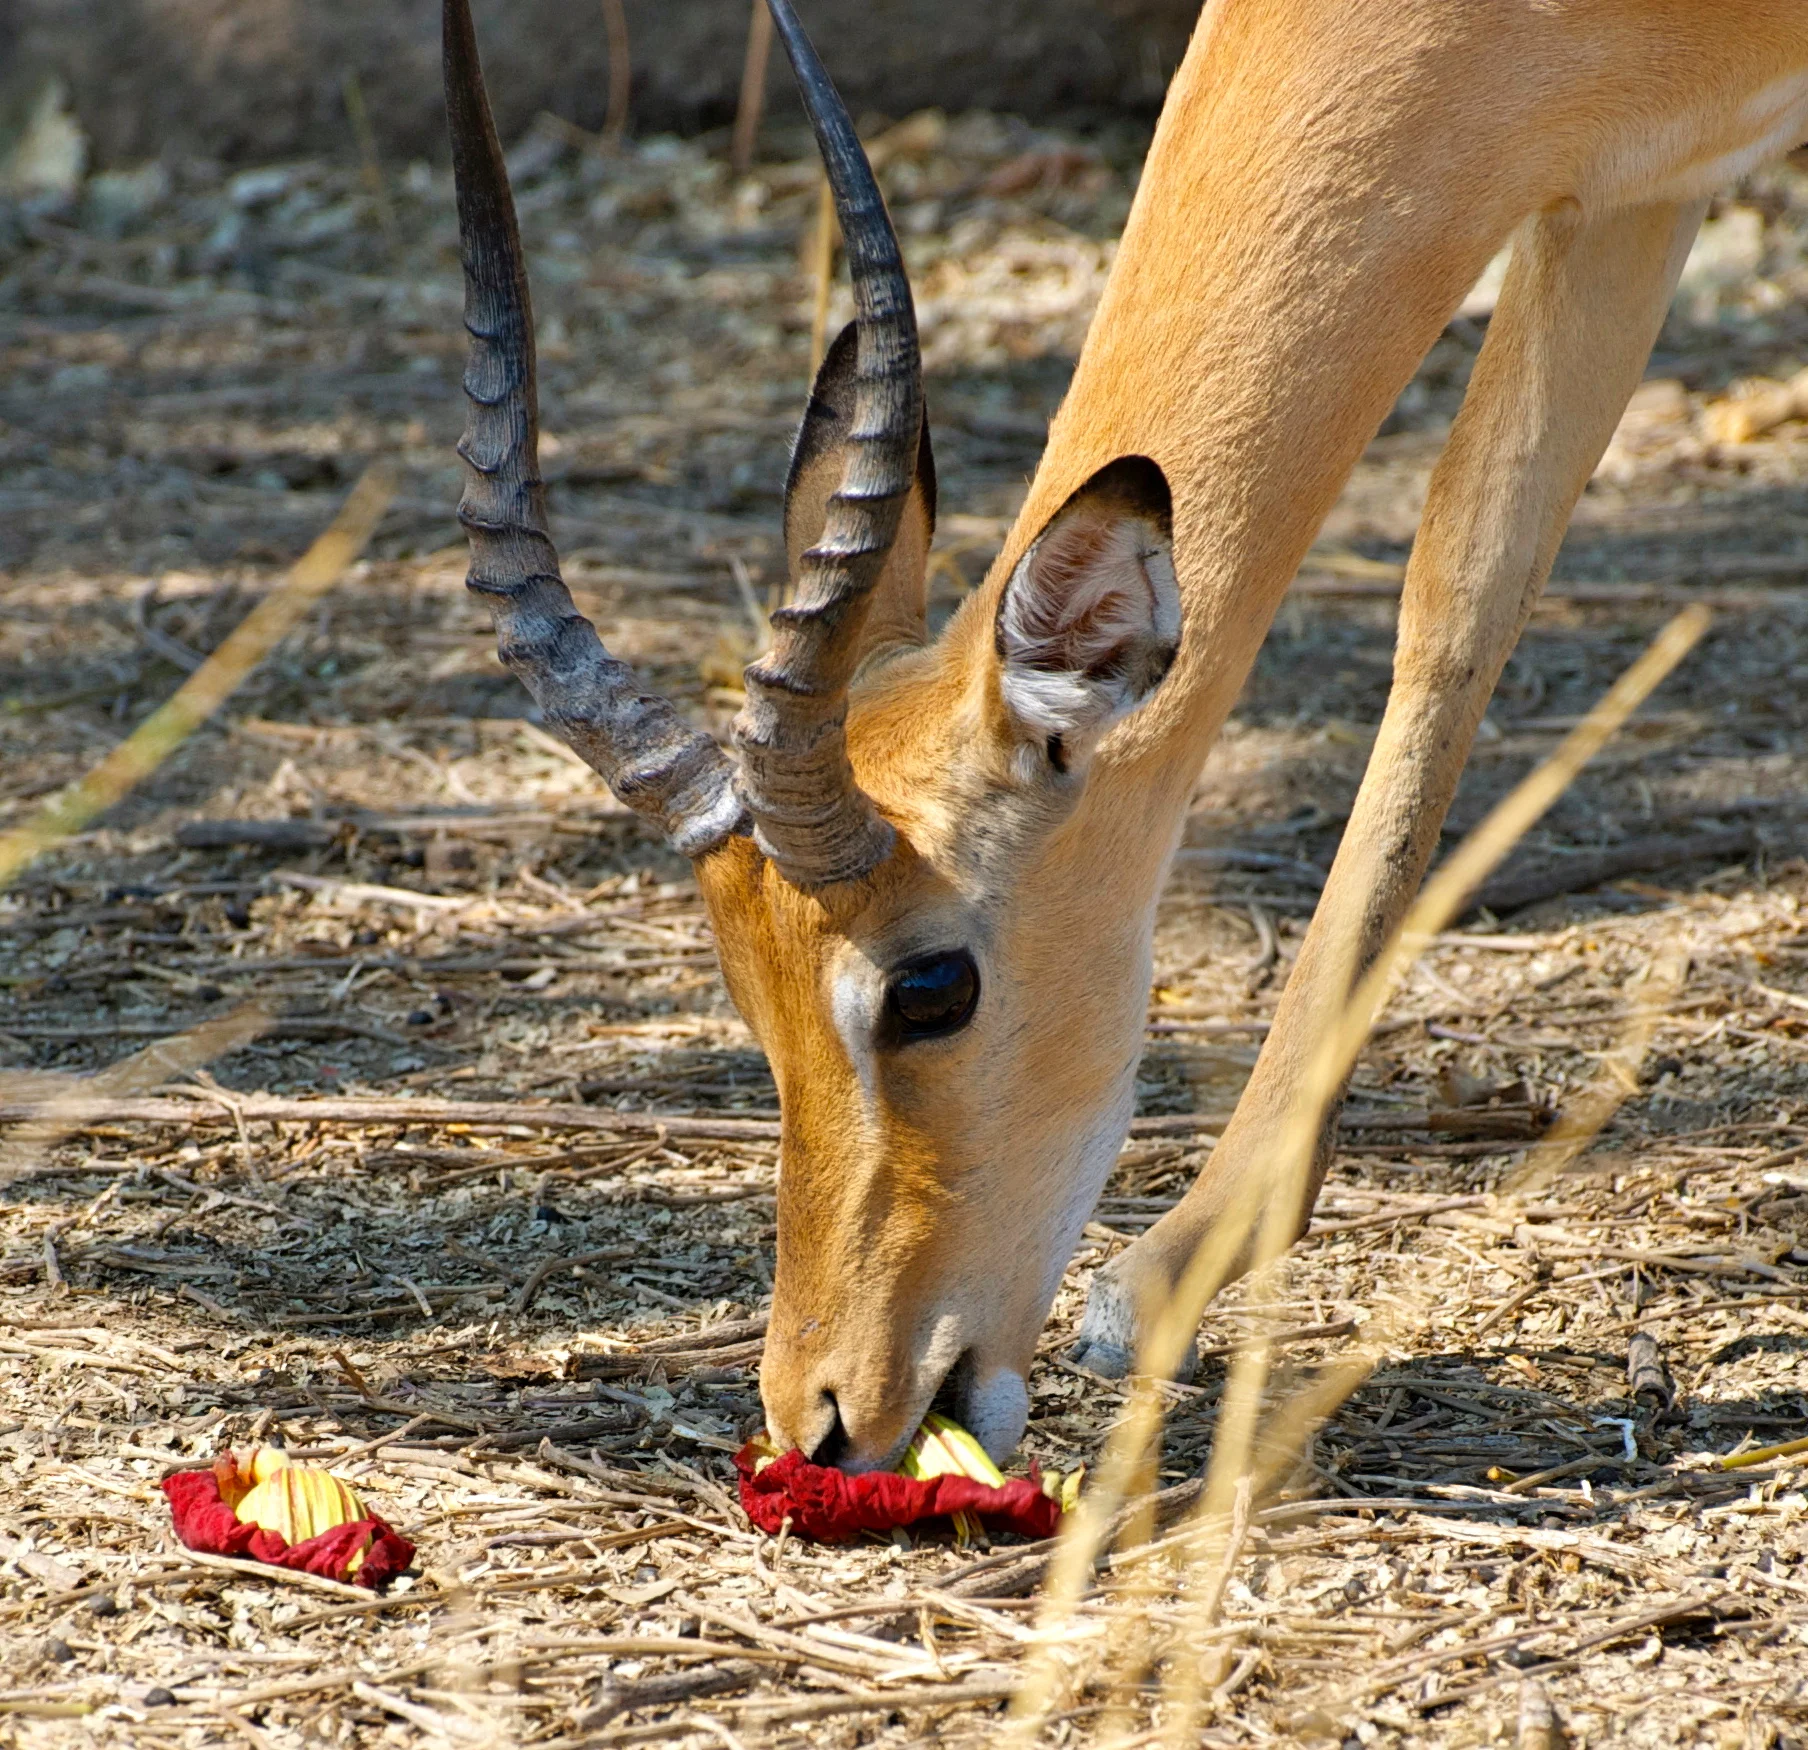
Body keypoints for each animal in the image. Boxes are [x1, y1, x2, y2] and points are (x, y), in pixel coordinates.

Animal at [446, 0, 1808, 1470]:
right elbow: (1464, 583)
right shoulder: (1627, 187)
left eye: (930, 987)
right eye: (746, 993)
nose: (824, 1416)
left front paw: (1156, 1275)